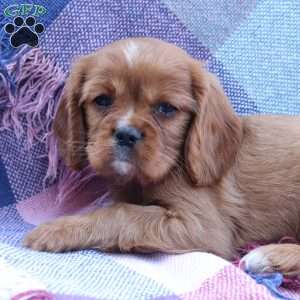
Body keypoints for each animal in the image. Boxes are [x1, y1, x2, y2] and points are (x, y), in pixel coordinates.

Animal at [24, 38, 300, 276]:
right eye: (102, 100)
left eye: (166, 108)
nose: (126, 134)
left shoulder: (200, 224)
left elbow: (122, 213)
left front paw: (57, 229)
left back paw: (269, 257)